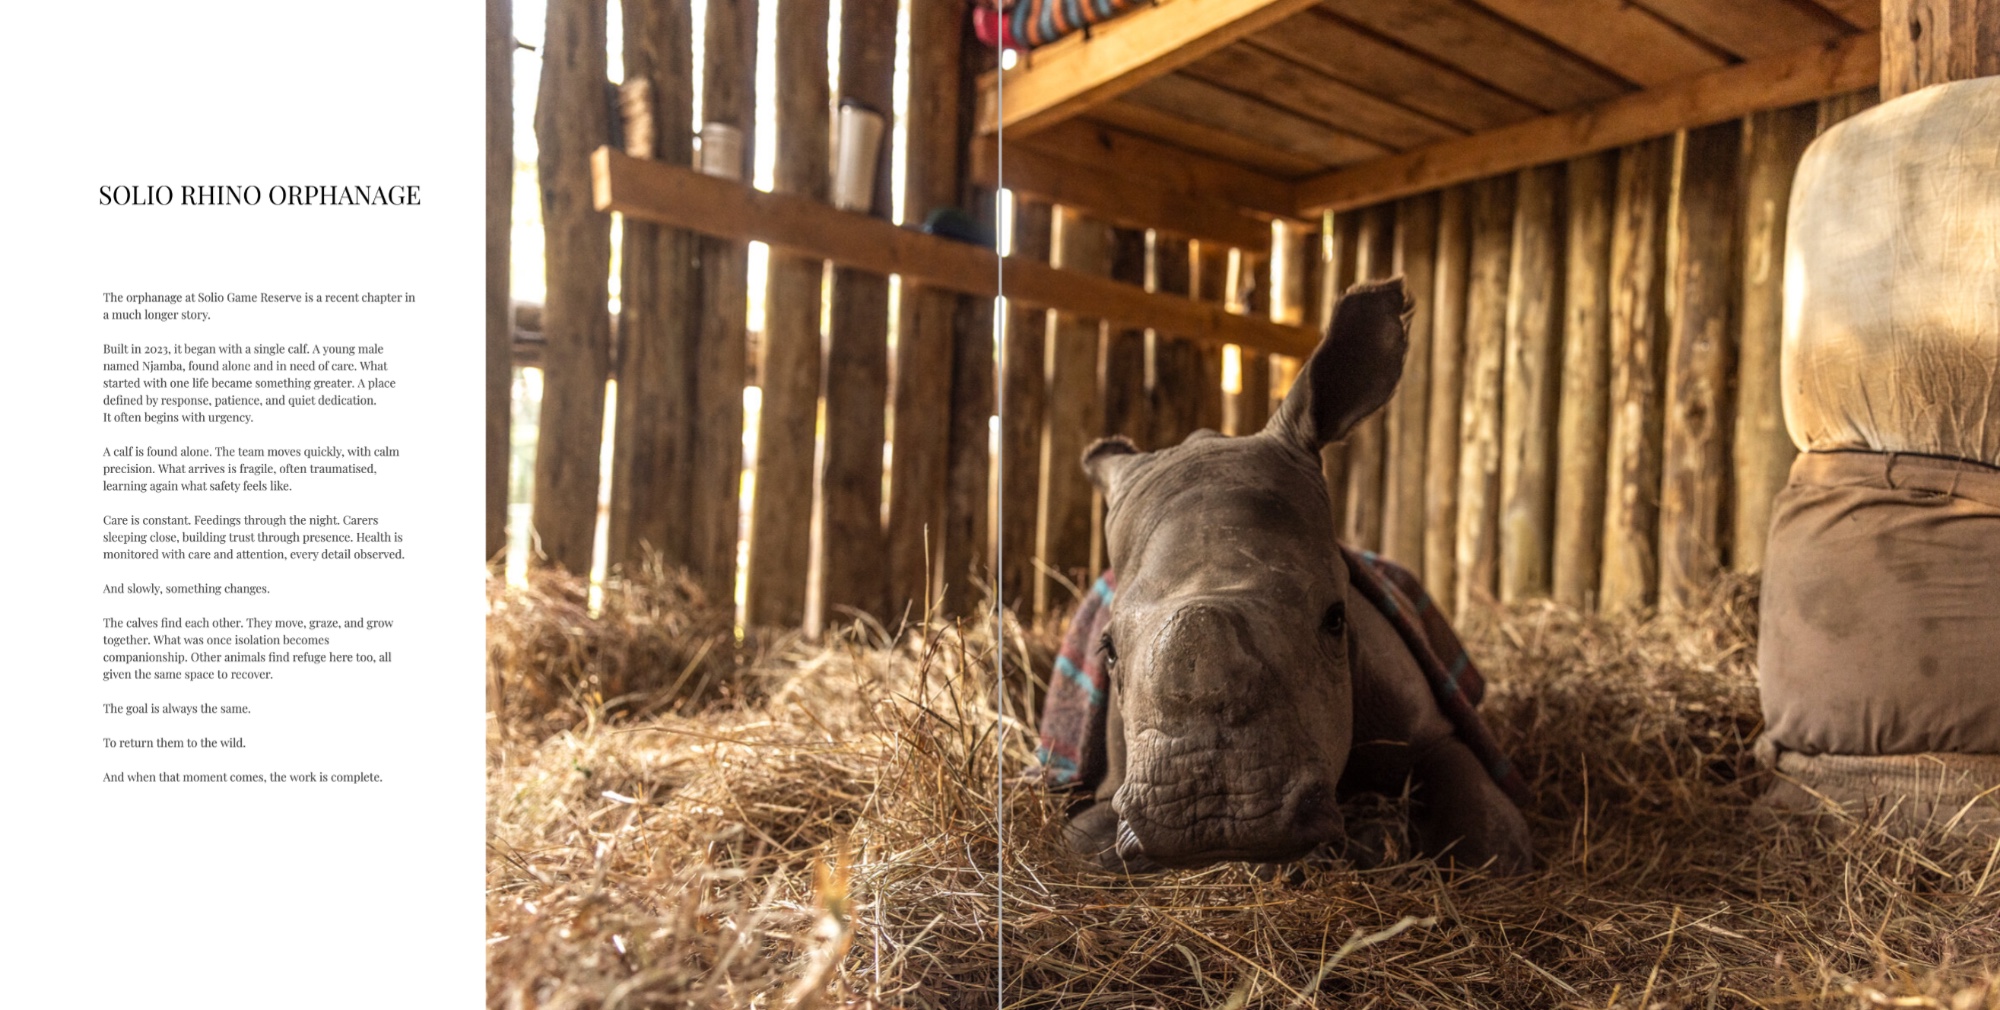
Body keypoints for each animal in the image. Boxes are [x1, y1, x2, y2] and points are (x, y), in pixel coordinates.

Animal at [1059, 278, 1533, 873]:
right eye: (1108, 651)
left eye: (1336, 619)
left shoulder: (1433, 730)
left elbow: (1490, 835)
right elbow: (1081, 840)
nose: (1213, 811)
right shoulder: (1108, 790)